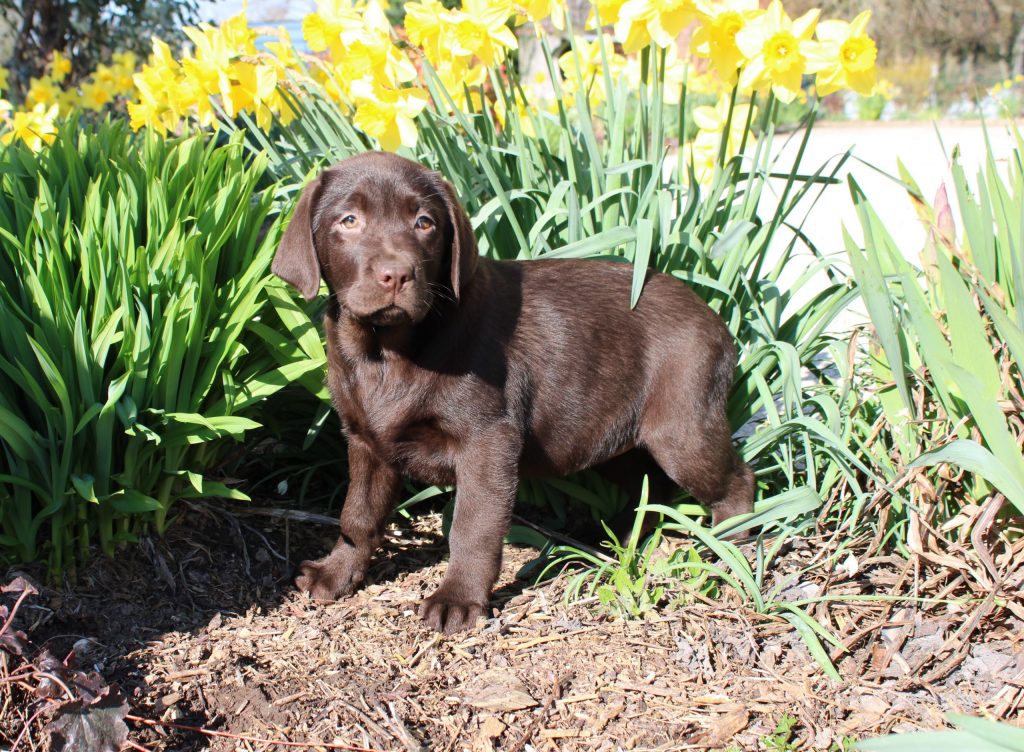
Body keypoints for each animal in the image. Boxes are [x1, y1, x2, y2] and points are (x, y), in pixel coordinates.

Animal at [272, 151, 754, 633]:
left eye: (425, 223)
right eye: (349, 220)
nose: (396, 275)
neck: (386, 352)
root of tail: (718, 322)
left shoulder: (488, 440)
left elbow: (473, 526)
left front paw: (458, 598)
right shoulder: (367, 440)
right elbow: (358, 515)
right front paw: (337, 573)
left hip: (681, 427)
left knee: (735, 480)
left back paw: (729, 550)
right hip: (619, 433)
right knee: (651, 485)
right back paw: (610, 534)